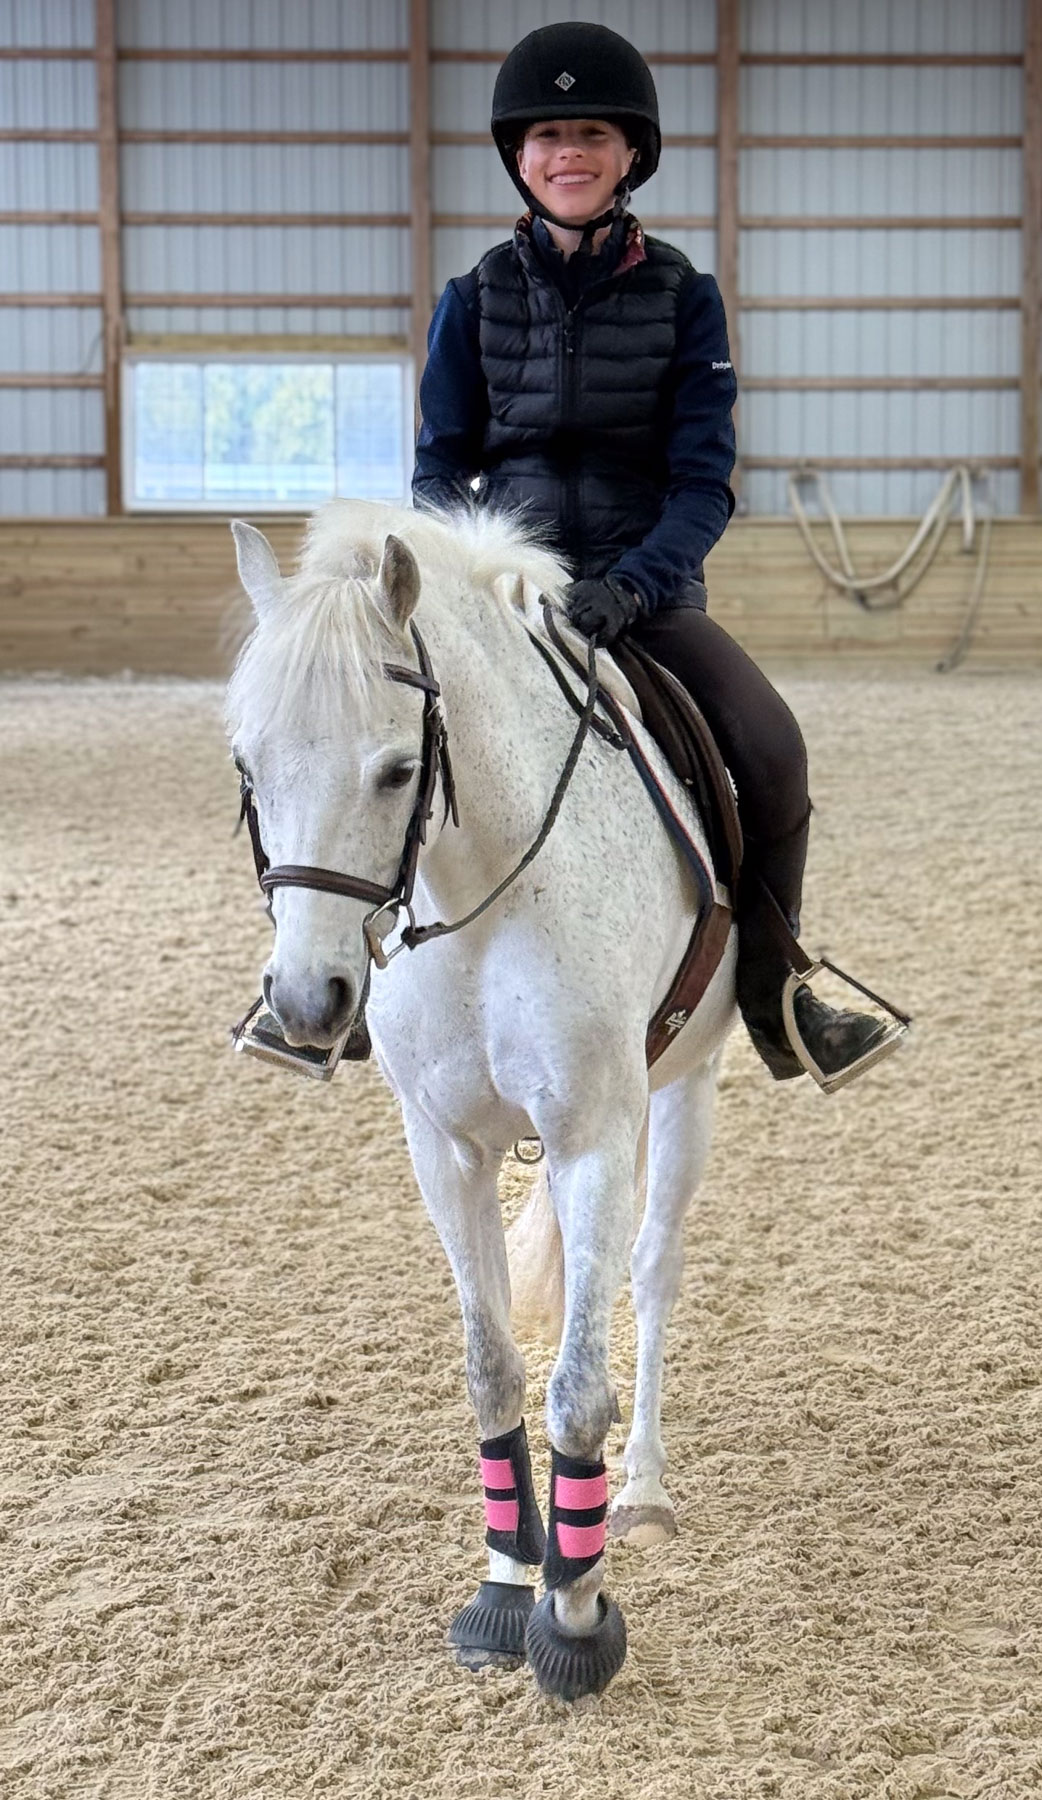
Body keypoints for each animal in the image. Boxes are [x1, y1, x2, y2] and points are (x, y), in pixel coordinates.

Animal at [227, 499, 738, 1701]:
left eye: (396, 769)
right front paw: (508, 1582)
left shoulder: (593, 1135)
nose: (308, 1001)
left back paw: (642, 1491)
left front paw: (577, 1612)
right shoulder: (446, 1147)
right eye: (248, 763)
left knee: (654, 1273)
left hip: (684, 1088)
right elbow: (493, 1369)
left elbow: (576, 1386)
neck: (486, 888)